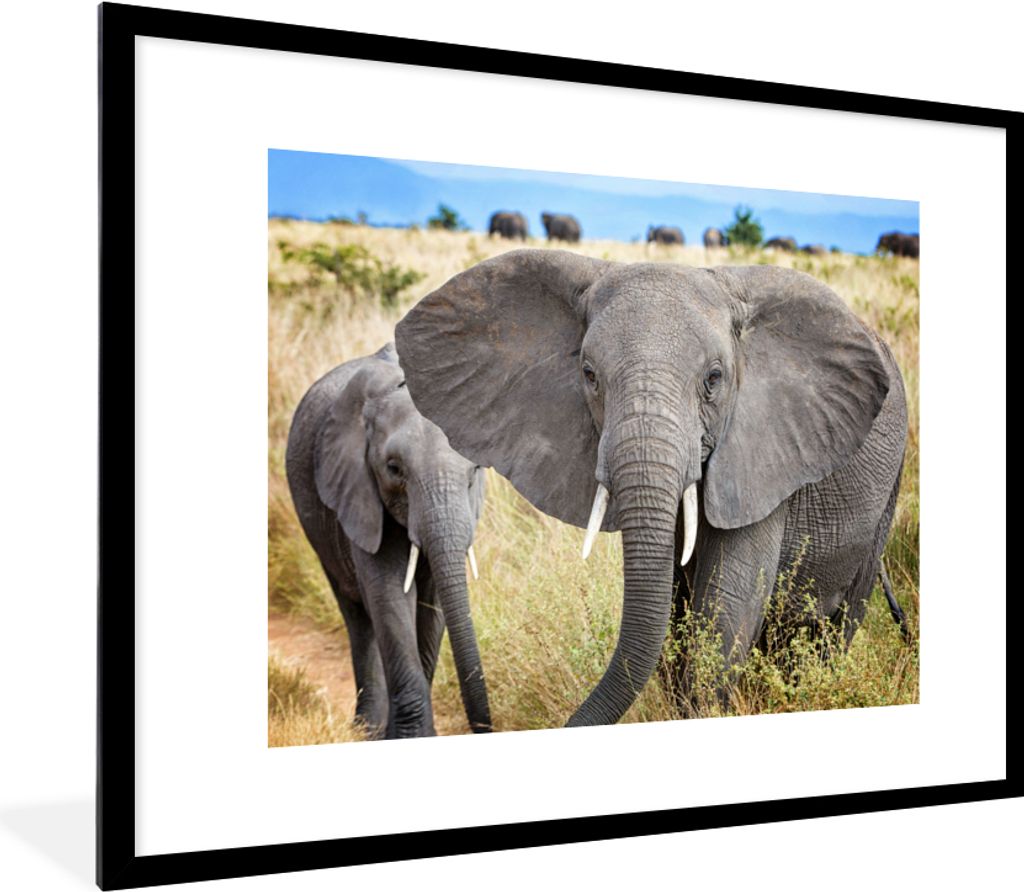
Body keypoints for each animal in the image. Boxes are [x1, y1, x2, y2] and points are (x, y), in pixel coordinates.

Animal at [285, 343, 491, 739]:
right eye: (394, 469)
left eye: (475, 469)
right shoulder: (358, 493)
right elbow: (389, 594)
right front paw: (408, 737)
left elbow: (433, 601)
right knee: (357, 616)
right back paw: (366, 729)